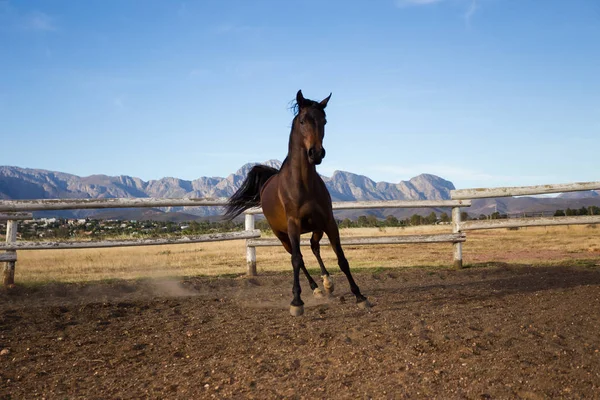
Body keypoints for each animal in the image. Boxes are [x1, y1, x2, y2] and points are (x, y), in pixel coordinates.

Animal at [223, 90, 368, 316]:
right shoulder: (293, 225)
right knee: (297, 256)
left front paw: (359, 296)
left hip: (316, 227)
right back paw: (316, 289)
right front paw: (296, 302)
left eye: (324, 121)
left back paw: (327, 284)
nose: (316, 153)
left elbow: (342, 258)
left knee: (314, 247)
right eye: (302, 121)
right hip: (282, 235)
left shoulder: (328, 221)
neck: (302, 184)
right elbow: (297, 260)